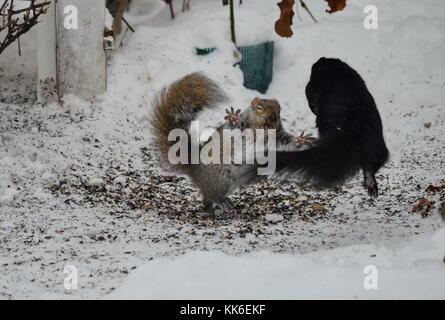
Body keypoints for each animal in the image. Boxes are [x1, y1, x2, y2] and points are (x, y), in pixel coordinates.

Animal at [274, 57, 388, 198]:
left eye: (315, 69)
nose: (319, 60)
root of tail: (353, 132)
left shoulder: (312, 89)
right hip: (376, 147)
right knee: (370, 165)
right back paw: (370, 183)